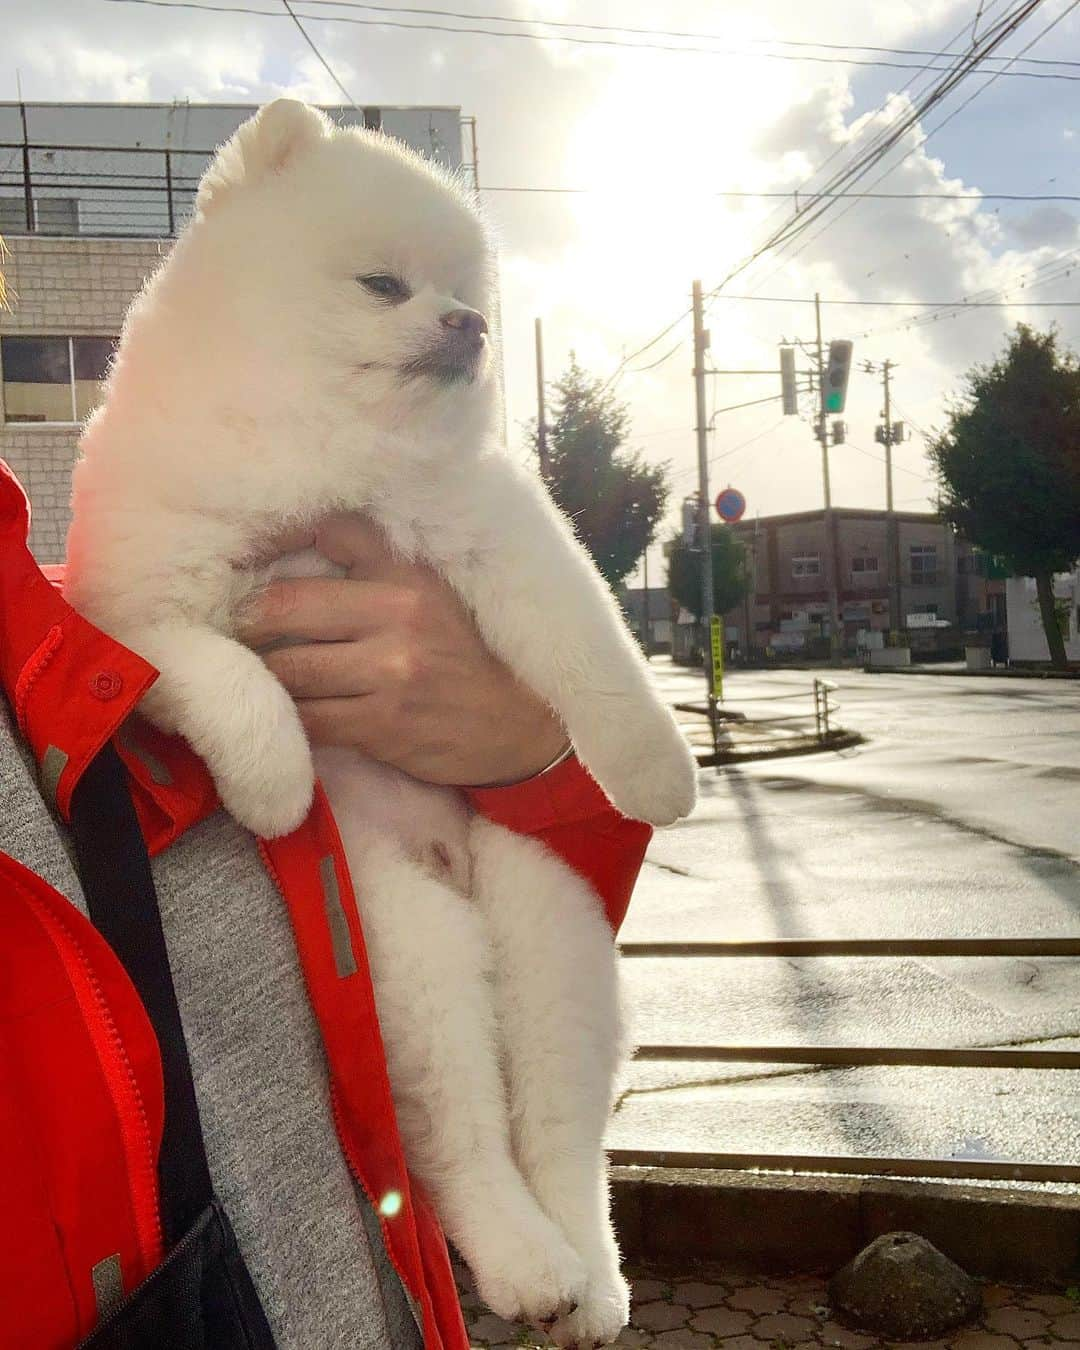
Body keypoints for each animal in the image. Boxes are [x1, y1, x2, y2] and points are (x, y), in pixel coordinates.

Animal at [67, 102, 696, 1350]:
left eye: (465, 291)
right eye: (382, 284)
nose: (470, 325)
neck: (321, 451)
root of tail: (452, 873)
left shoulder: (496, 535)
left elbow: (593, 648)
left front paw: (658, 771)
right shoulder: (139, 607)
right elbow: (230, 680)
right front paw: (274, 785)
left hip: (547, 917)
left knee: (557, 1135)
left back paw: (586, 1281)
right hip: (404, 943)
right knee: (465, 1146)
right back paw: (528, 1265)